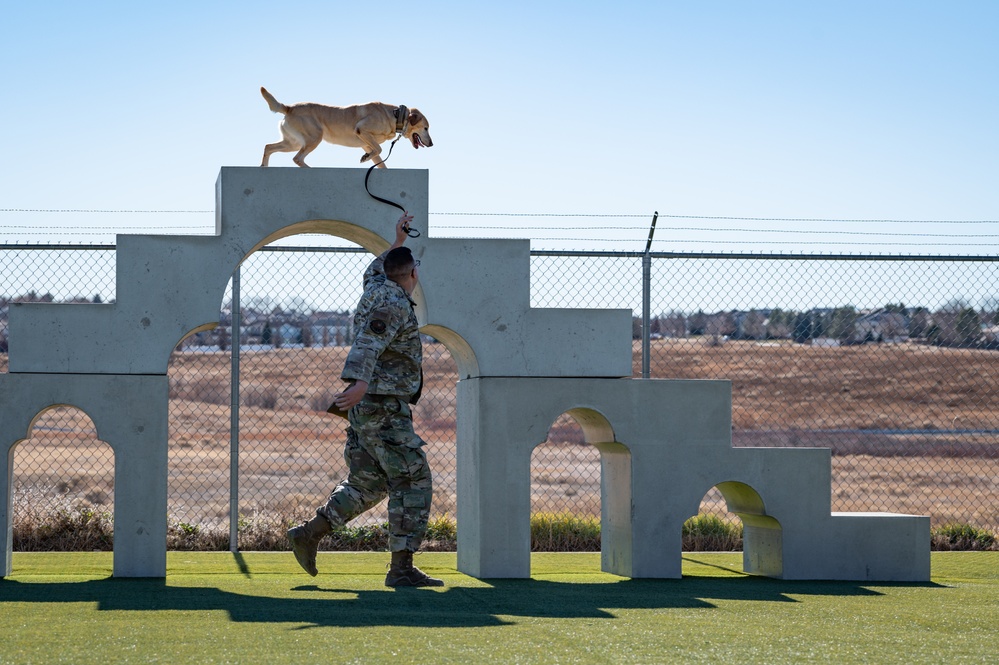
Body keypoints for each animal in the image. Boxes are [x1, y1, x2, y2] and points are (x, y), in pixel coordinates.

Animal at [260, 87, 432, 169]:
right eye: (426, 128)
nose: (431, 144)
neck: (396, 115)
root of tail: (289, 108)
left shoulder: (366, 143)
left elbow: (380, 161)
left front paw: (370, 159)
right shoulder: (361, 130)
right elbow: (379, 149)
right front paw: (365, 158)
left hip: (293, 143)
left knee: (268, 147)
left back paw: (263, 167)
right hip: (314, 137)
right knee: (297, 158)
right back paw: (310, 168)